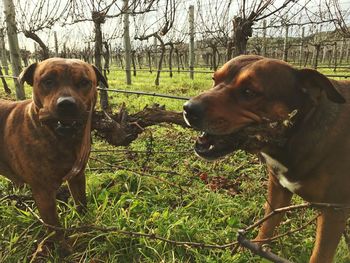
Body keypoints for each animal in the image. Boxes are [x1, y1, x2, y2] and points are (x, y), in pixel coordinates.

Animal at [0, 57, 106, 239]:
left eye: (84, 82)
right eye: (48, 81)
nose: (67, 104)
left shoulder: (78, 176)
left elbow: (81, 202)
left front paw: (86, 224)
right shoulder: (43, 192)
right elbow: (55, 228)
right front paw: (61, 246)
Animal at [183, 54, 350, 262]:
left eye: (249, 92)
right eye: (214, 79)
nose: (188, 109)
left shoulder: (333, 211)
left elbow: (320, 255)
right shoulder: (277, 187)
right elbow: (268, 223)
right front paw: (253, 249)